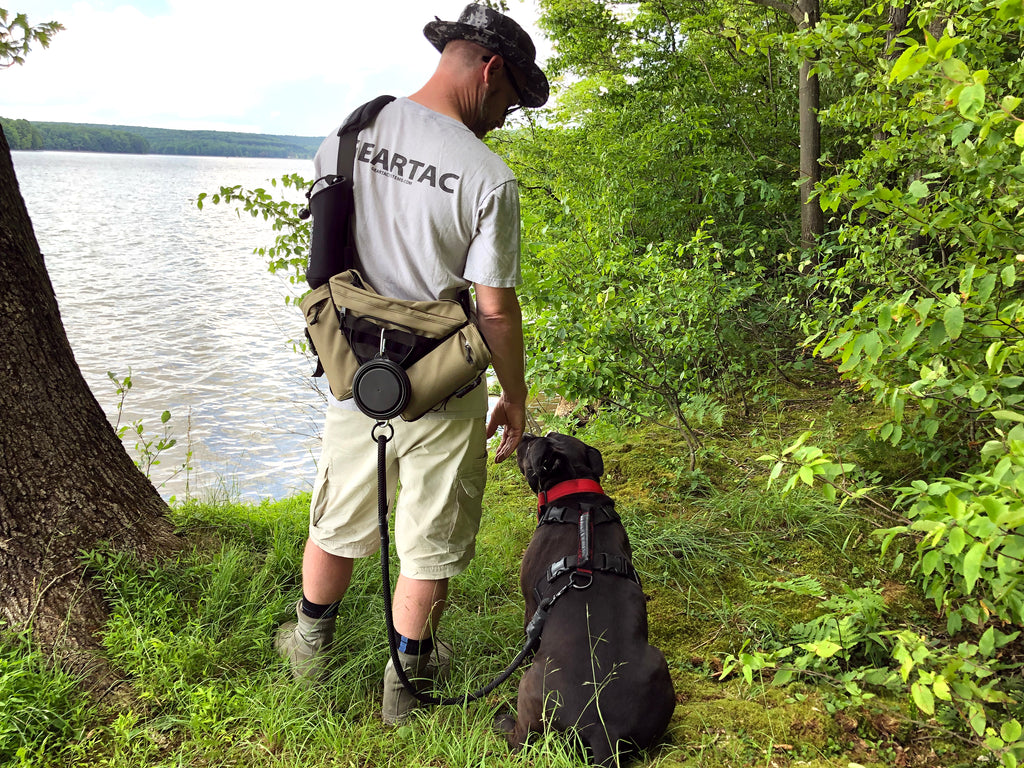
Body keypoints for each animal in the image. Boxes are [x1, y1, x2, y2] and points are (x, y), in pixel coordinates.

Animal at [497, 436, 675, 765]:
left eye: (532, 446)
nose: (525, 436)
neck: (577, 497)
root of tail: (604, 731)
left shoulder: (531, 605)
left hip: (529, 687)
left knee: (521, 741)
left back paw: (502, 724)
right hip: (659, 668)